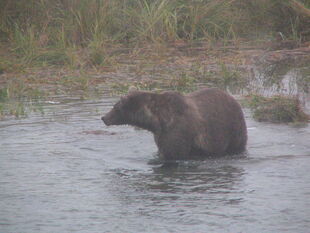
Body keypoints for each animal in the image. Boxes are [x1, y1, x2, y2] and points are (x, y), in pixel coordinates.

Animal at [101, 87, 247, 160]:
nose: (104, 117)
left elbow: (173, 153)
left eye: (115, 107)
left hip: (232, 128)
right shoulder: (160, 134)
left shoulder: (176, 130)